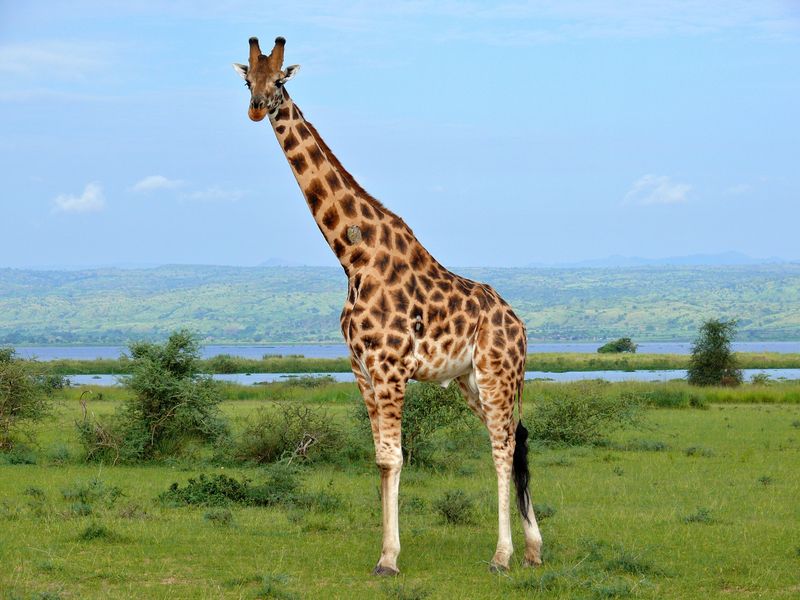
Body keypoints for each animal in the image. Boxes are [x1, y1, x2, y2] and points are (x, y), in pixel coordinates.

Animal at [233, 36, 543, 575]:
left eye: (280, 81)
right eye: (247, 78)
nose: (256, 108)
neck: (351, 255)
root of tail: (520, 325)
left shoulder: (390, 366)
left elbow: (395, 458)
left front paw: (389, 559)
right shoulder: (361, 368)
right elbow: (379, 458)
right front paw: (386, 551)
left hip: (498, 373)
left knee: (503, 447)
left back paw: (502, 556)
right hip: (470, 380)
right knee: (510, 439)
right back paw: (532, 549)